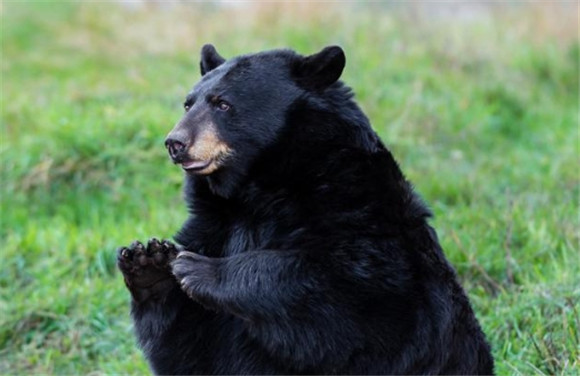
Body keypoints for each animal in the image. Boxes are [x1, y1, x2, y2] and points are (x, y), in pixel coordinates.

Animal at [116, 45, 494, 374]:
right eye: (188, 103)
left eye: (223, 103)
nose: (175, 143)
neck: (258, 188)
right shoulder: (214, 224)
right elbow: (192, 344)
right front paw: (149, 263)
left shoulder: (361, 213)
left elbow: (343, 293)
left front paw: (199, 269)